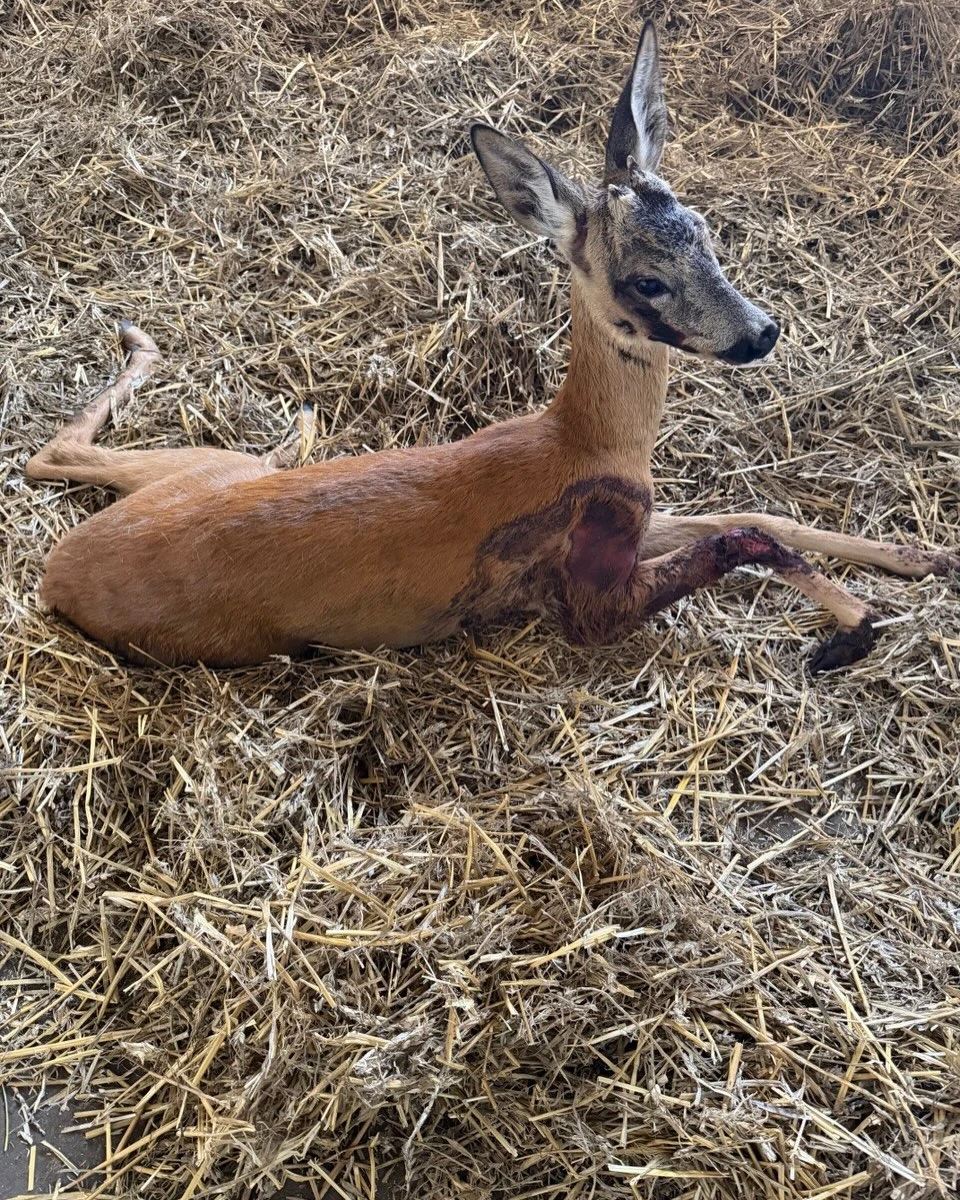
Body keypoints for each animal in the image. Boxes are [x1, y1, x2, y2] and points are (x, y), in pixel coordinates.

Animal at [24, 21, 958, 671]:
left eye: (702, 229)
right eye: (645, 282)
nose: (760, 332)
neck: (586, 442)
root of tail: (58, 571)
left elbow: (753, 513)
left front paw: (921, 555)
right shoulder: (590, 590)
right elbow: (737, 540)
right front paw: (852, 628)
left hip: (203, 470)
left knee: (57, 456)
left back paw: (233, 391)